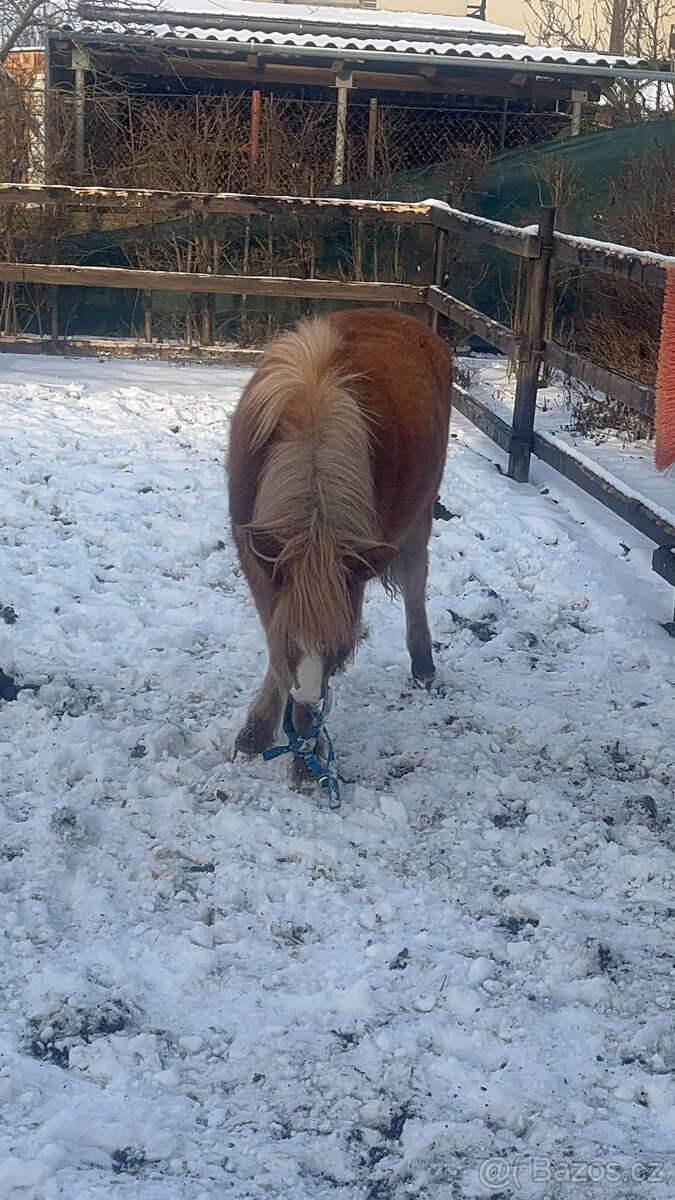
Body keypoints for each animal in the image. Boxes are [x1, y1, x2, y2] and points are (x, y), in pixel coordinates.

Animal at [228, 307, 452, 795]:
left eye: (339, 649)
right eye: (293, 642)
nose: (309, 697)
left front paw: (305, 757)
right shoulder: (260, 564)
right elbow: (274, 639)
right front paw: (257, 733)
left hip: (422, 511)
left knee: (415, 576)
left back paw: (423, 664)